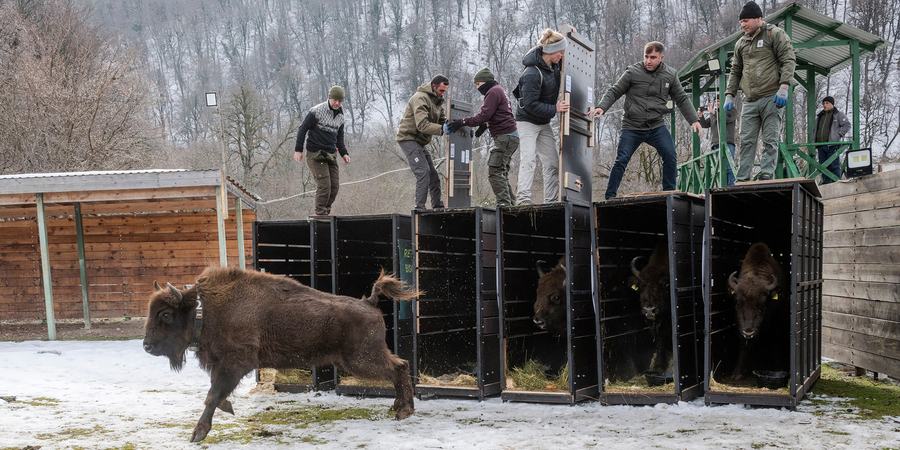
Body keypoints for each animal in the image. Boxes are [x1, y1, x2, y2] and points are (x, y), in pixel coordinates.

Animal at [143, 267, 419, 442]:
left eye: (165, 314)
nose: (146, 346)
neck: (205, 310)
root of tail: (369, 302)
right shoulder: (221, 366)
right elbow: (216, 394)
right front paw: (227, 409)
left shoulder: (234, 364)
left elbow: (212, 396)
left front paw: (197, 434)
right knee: (398, 368)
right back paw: (398, 407)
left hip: (361, 360)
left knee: (399, 367)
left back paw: (403, 411)